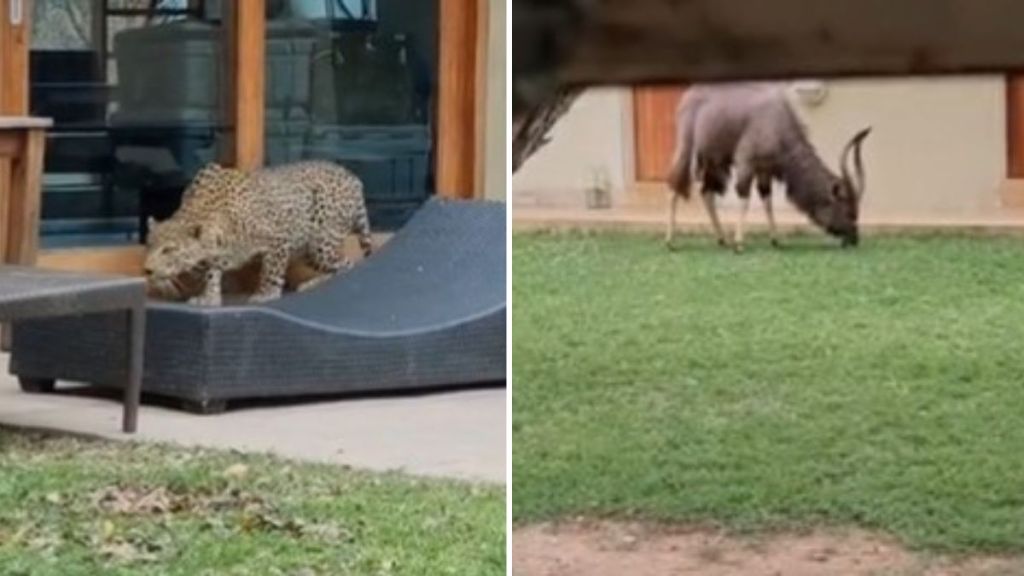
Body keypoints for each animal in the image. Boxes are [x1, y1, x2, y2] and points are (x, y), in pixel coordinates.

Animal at [142, 158, 370, 305]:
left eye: (168, 250)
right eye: (149, 246)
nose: (147, 270)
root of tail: (353, 178)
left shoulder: (278, 239)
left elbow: (271, 271)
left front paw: (267, 294)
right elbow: (210, 270)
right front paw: (209, 296)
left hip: (320, 243)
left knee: (346, 265)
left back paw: (313, 285)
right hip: (309, 248)